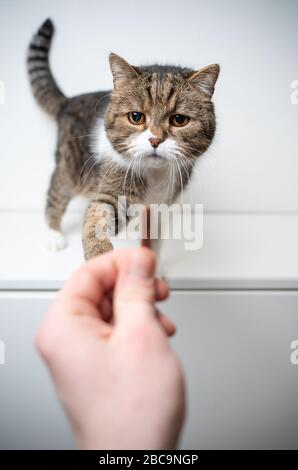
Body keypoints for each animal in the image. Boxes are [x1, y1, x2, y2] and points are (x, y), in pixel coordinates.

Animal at [27, 18, 219, 258]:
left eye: (179, 119)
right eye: (136, 117)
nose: (155, 140)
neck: (154, 175)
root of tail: (68, 101)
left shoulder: (161, 207)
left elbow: (154, 240)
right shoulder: (114, 183)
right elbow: (98, 216)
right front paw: (100, 255)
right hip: (70, 167)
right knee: (56, 191)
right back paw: (54, 234)